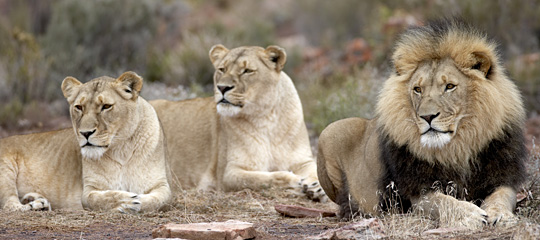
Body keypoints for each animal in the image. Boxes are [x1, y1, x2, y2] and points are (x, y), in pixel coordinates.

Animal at [0, 71, 171, 214]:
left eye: (106, 106)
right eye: (79, 107)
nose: (85, 133)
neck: (121, 149)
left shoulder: (161, 185)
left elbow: (160, 200)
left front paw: (137, 200)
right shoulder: (89, 189)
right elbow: (96, 199)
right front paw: (124, 201)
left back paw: (34, 200)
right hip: (6, 170)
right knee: (9, 205)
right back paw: (35, 205)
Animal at [151, 44, 324, 201]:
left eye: (247, 71)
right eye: (222, 69)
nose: (222, 87)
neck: (266, 117)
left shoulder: (302, 160)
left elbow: (315, 170)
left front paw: (316, 187)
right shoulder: (228, 173)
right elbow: (263, 178)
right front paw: (296, 181)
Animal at [318, 19, 524, 229]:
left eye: (450, 86)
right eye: (417, 89)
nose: (427, 116)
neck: (458, 148)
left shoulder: (502, 177)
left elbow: (502, 197)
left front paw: (501, 215)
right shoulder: (417, 193)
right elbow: (444, 201)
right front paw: (470, 214)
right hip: (329, 132)